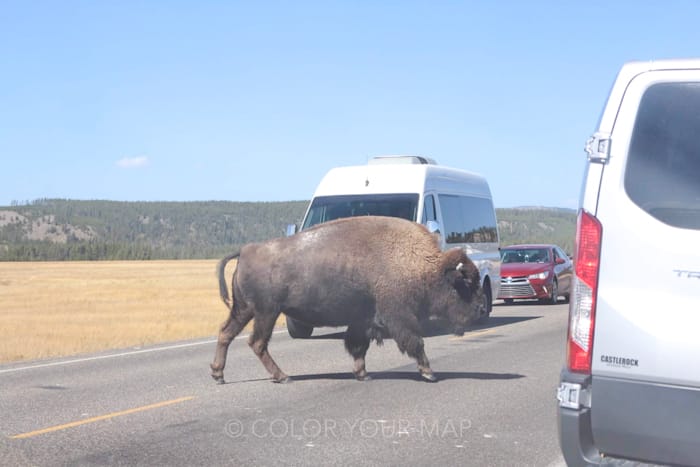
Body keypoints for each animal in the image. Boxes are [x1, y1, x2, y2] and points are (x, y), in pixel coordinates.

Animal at [211, 216, 484, 384]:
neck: (416, 262)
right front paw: (429, 373)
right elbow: (416, 343)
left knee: (226, 333)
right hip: (266, 312)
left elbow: (358, 346)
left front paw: (363, 374)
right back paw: (282, 376)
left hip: (245, 309)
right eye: (463, 285)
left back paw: (218, 374)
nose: (480, 309)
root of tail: (246, 250)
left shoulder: (364, 320)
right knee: (257, 342)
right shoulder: (400, 317)